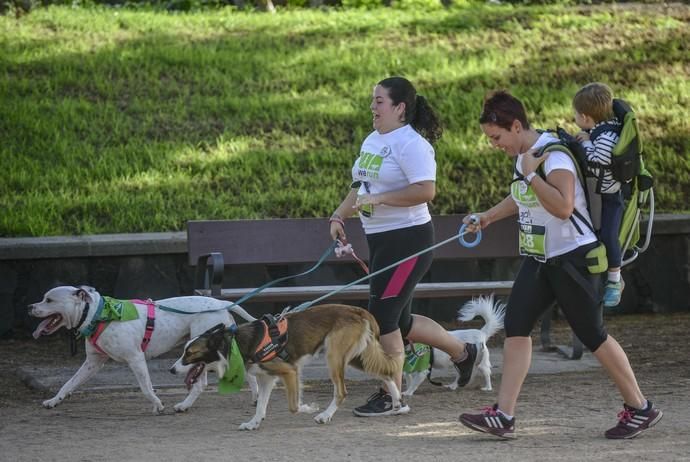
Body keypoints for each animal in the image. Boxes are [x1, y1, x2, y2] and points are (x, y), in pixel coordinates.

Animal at [26, 284, 258, 414]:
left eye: (49, 300)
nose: (29, 307)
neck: (99, 314)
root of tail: (221, 303)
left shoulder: (136, 358)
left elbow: (146, 387)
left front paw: (157, 404)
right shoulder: (93, 363)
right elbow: (69, 383)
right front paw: (54, 400)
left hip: (203, 352)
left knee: (201, 384)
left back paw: (184, 405)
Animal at [171, 304, 404, 432]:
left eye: (189, 353)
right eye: (183, 351)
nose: (171, 370)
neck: (236, 344)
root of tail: (357, 310)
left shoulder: (289, 372)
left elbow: (293, 406)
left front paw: (308, 408)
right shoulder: (267, 378)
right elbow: (260, 406)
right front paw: (253, 423)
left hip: (334, 357)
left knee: (342, 391)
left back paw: (325, 415)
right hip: (356, 357)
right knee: (387, 373)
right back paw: (396, 403)